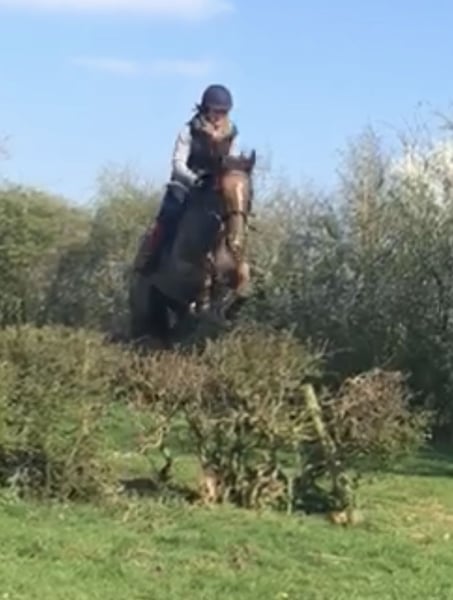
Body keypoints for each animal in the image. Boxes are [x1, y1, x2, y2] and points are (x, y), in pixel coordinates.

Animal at [128, 150, 256, 348]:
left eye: (250, 192)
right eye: (220, 191)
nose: (235, 241)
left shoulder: (235, 267)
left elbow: (242, 275)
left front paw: (227, 310)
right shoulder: (183, 269)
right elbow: (203, 277)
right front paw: (205, 308)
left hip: (171, 303)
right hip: (145, 303)